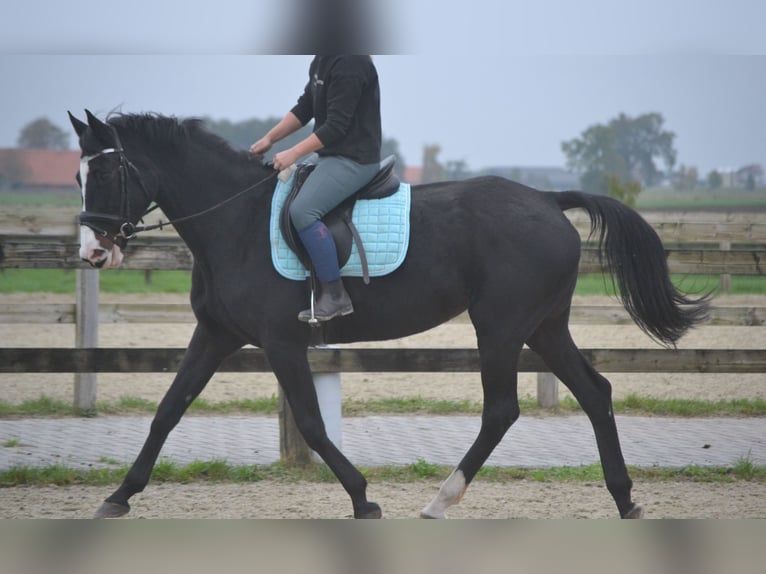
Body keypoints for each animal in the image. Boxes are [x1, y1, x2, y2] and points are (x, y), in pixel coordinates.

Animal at [70, 110, 708, 520]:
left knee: (501, 410)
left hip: (502, 327)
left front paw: (362, 497)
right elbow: (167, 411)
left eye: (105, 172)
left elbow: (311, 423)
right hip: (544, 327)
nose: (93, 252)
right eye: (78, 174)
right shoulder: (216, 335)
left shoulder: (281, 342)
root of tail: (548, 200)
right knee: (595, 392)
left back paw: (441, 500)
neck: (237, 223)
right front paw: (119, 496)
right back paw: (624, 499)